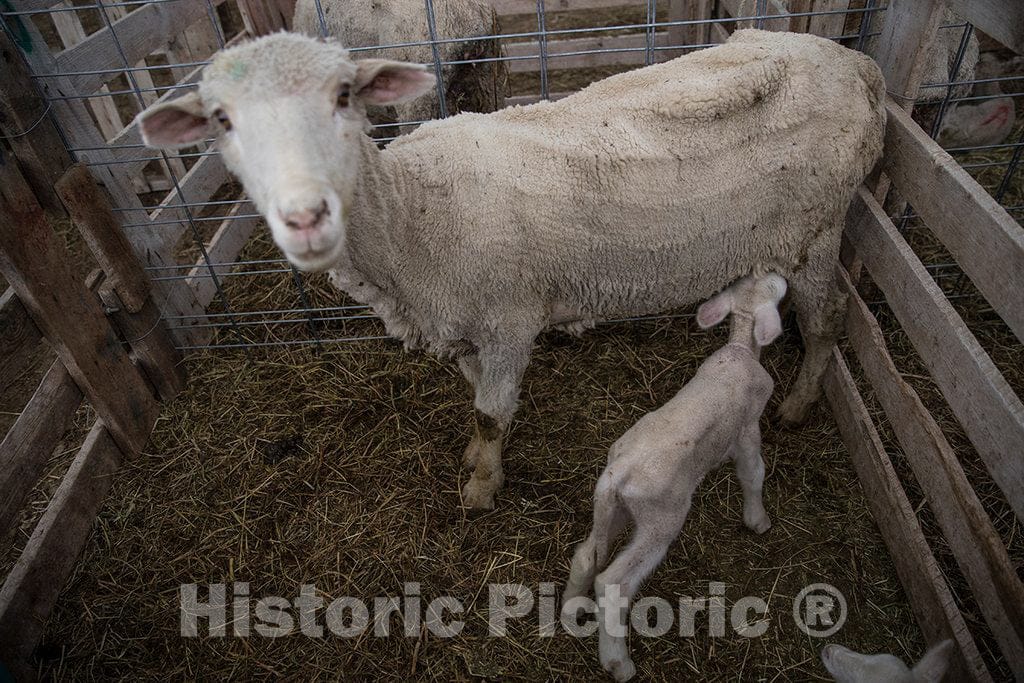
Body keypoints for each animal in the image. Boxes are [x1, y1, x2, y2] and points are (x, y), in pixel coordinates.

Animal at [136, 28, 885, 509]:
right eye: (220, 119)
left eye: (346, 94)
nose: (305, 215)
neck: (415, 214)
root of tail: (854, 63)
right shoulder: (467, 326)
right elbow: (477, 404)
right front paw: (475, 460)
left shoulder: (507, 321)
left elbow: (493, 414)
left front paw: (480, 489)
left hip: (818, 228)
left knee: (828, 318)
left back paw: (796, 405)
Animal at [560, 272, 785, 682]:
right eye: (774, 290)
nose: (783, 278)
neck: (741, 348)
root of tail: (618, 475)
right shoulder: (748, 427)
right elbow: (753, 472)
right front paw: (757, 519)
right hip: (660, 519)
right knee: (612, 584)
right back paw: (618, 663)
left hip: (614, 508)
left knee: (586, 555)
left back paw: (571, 613)